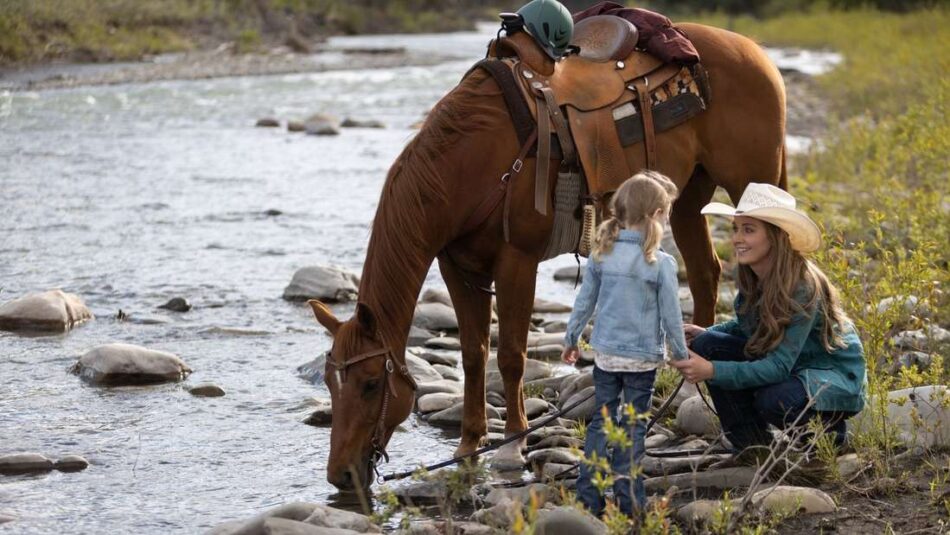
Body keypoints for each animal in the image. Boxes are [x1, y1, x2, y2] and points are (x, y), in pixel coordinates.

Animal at [308, 23, 784, 492]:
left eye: (371, 384)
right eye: (331, 382)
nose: (340, 475)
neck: (468, 163)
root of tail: (753, 51)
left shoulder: (516, 261)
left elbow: (511, 355)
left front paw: (511, 446)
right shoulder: (458, 269)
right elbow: (473, 355)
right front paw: (468, 445)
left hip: (751, 182)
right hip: (687, 198)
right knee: (704, 273)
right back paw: (687, 386)